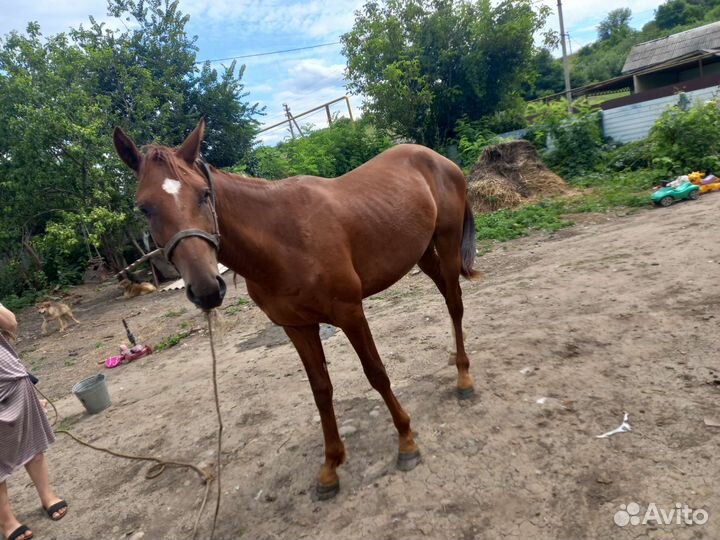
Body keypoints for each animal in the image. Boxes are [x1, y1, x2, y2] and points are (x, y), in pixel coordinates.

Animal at [112, 118, 479, 499]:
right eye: (144, 207)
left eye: (204, 193)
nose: (206, 289)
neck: (282, 239)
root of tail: (436, 158)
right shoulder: (297, 327)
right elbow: (320, 390)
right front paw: (330, 467)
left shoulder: (350, 312)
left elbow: (376, 373)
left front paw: (406, 441)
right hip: (421, 254)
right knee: (447, 297)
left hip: (447, 244)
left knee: (454, 304)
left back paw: (464, 378)